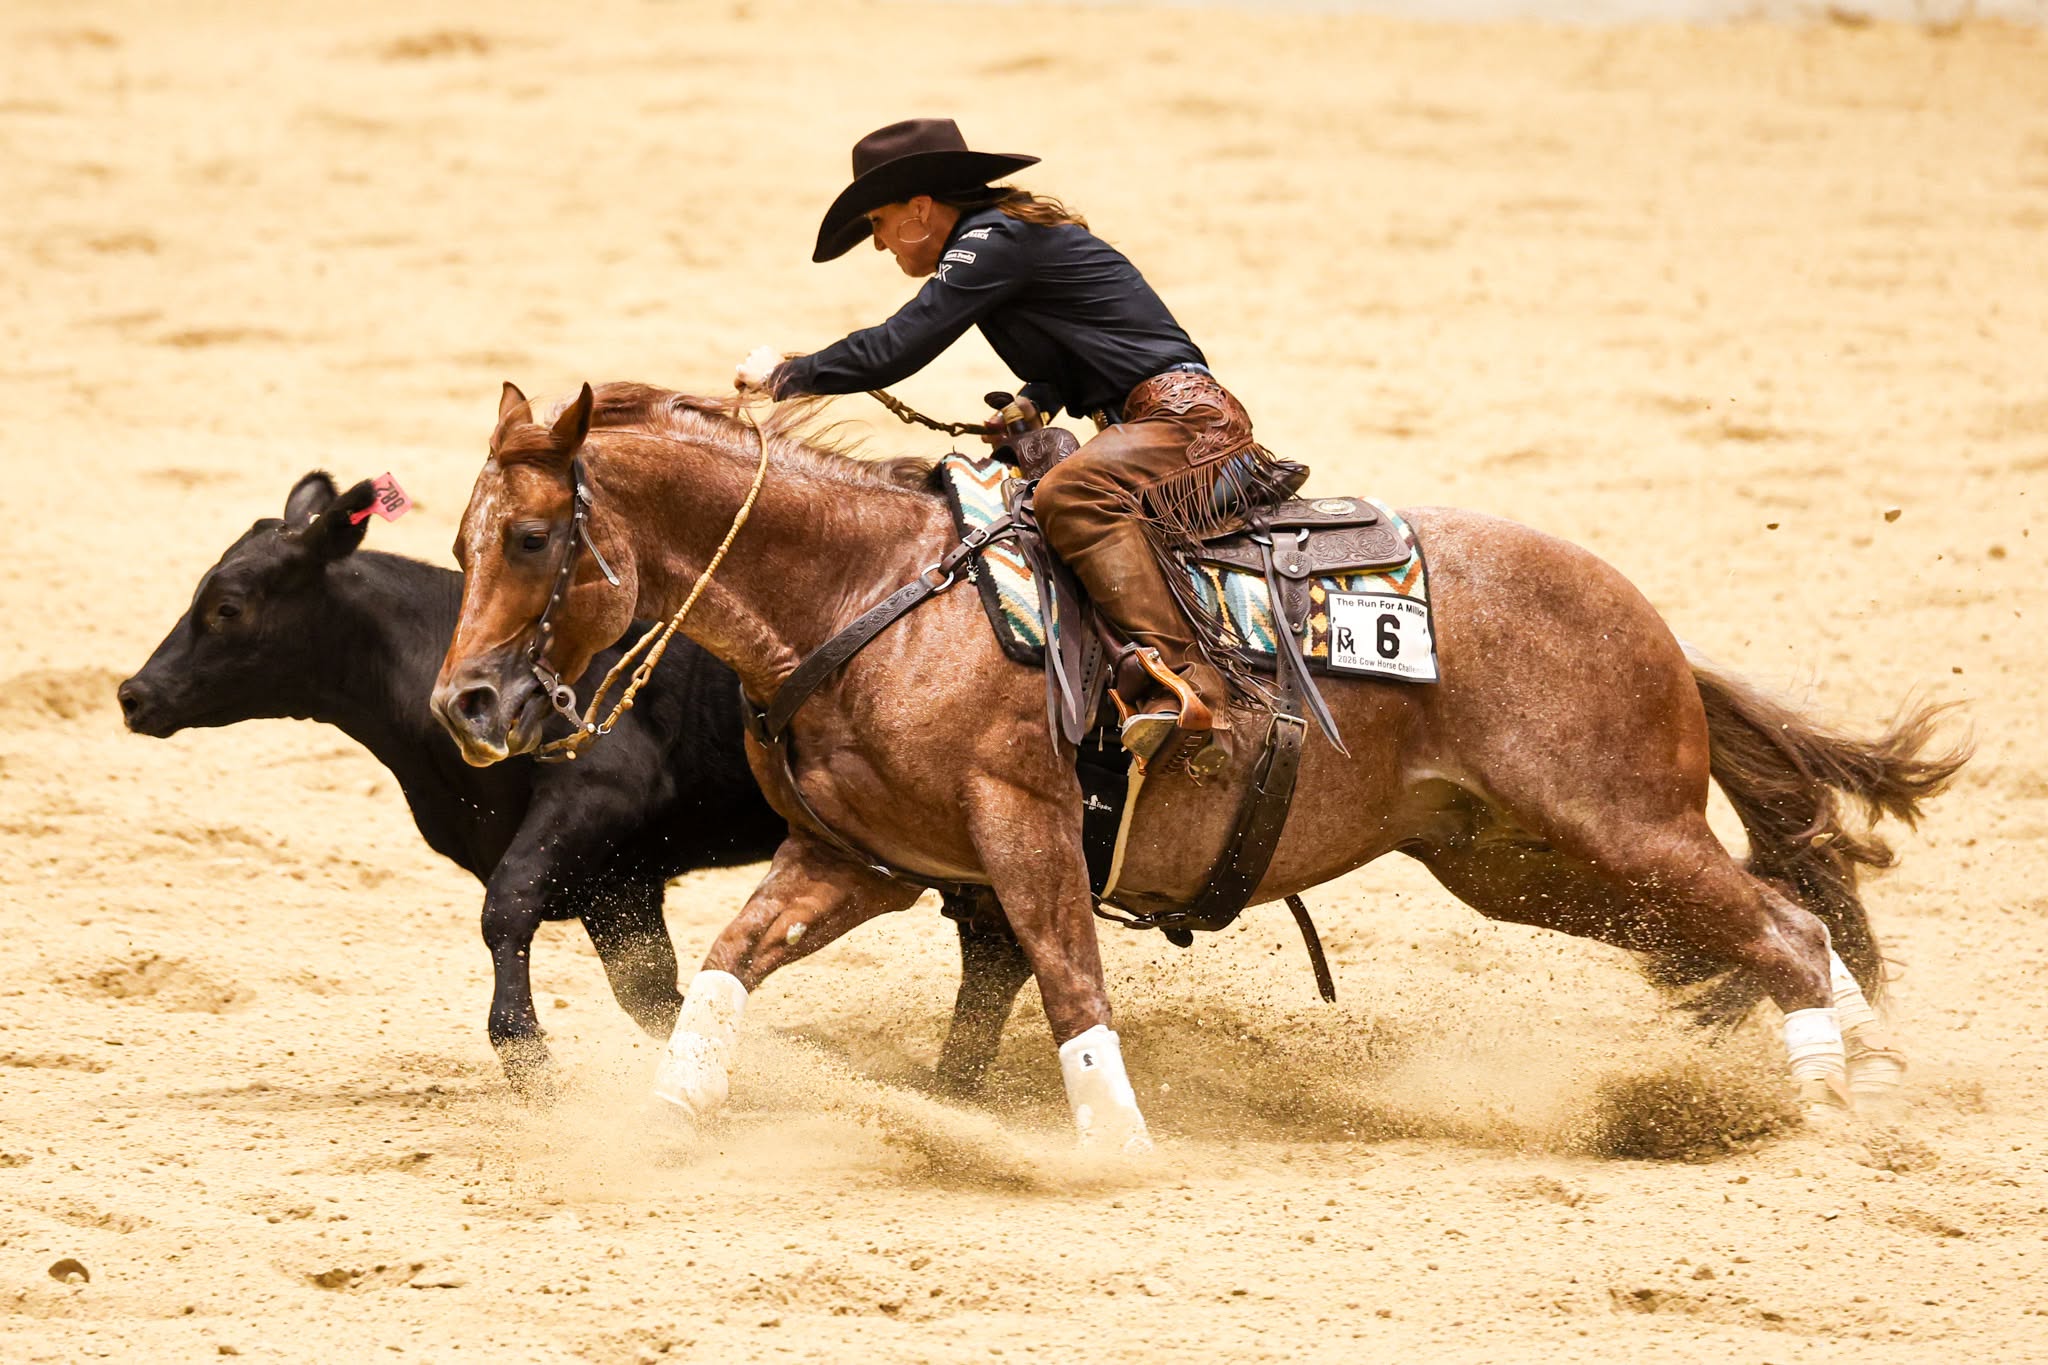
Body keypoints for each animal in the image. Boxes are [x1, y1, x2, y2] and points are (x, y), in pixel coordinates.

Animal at [119, 471, 1035, 1099]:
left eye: (228, 606)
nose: (135, 694)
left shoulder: (596, 800)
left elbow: (508, 905)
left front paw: (526, 1052)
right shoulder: (619, 881)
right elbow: (648, 989)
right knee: (996, 955)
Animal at [431, 381, 1966, 1149]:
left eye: (530, 538)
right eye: (454, 541)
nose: (470, 700)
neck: (876, 596)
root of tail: (1656, 628)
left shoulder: (1023, 830)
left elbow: (1067, 983)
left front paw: (1113, 1153)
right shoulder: (862, 858)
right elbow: (729, 961)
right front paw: (670, 1116)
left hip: (1620, 831)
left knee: (1781, 925)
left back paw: (1844, 1105)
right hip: (1533, 870)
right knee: (1778, 925)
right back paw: (1866, 1079)